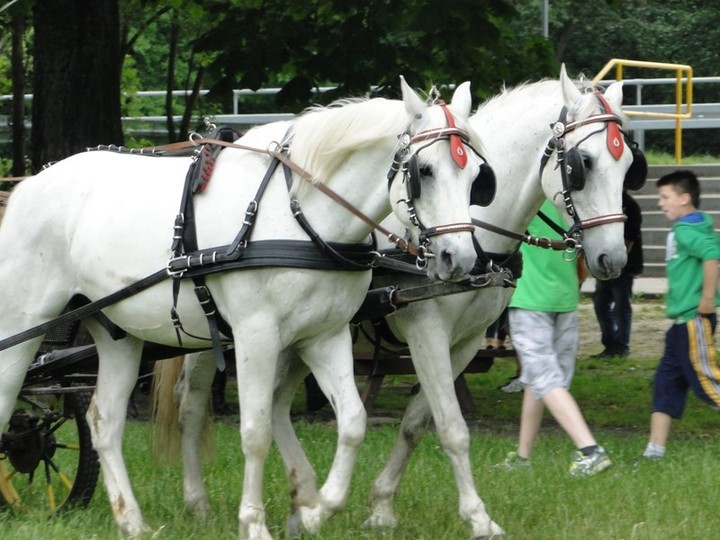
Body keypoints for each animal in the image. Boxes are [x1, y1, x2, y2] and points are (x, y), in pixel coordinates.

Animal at [0, 78, 486, 536]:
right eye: (424, 171)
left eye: (477, 176)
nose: (459, 258)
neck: (300, 216)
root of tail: (29, 184)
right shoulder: (257, 335)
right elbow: (255, 431)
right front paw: (254, 523)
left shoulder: (324, 336)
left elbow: (352, 421)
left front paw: (314, 512)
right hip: (25, 319)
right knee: (9, 397)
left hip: (119, 333)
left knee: (104, 421)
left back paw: (131, 521)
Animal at [159, 65, 648, 536]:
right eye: (583, 163)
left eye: (628, 164)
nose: (612, 258)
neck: (476, 228)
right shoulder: (426, 329)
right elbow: (452, 427)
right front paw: (476, 516)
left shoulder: (466, 343)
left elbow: (417, 423)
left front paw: (381, 507)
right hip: (218, 332)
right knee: (193, 403)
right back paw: (200, 501)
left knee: (276, 403)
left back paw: (304, 499)